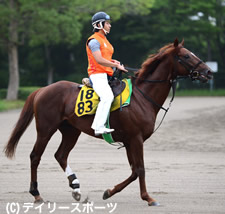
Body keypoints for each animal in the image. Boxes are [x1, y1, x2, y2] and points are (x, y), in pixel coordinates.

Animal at [3, 39, 213, 206]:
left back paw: (75, 186)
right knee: (35, 156)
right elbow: (140, 169)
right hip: (46, 129)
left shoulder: (129, 141)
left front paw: (110, 192)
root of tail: (42, 89)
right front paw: (148, 198)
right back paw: (36, 194)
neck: (141, 97)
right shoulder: (136, 139)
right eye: (186, 56)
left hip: (71, 131)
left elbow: (134, 171)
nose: (209, 71)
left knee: (60, 155)